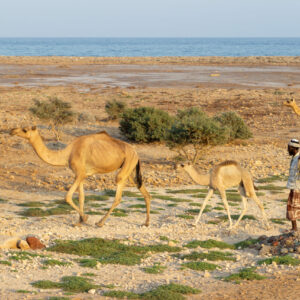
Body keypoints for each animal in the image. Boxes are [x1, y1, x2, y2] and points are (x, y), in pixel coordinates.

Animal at [10, 125, 151, 226]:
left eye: (25, 129)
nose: (12, 130)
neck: (67, 154)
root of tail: (136, 153)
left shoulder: (80, 173)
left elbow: (67, 197)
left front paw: (85, 218)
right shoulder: (82, 176)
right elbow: (81, 197)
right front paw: (79, 221)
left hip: (126, 166)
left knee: (118, 195)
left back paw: (100, 222)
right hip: (131, 170)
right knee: (144, 192)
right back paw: (146, 222)